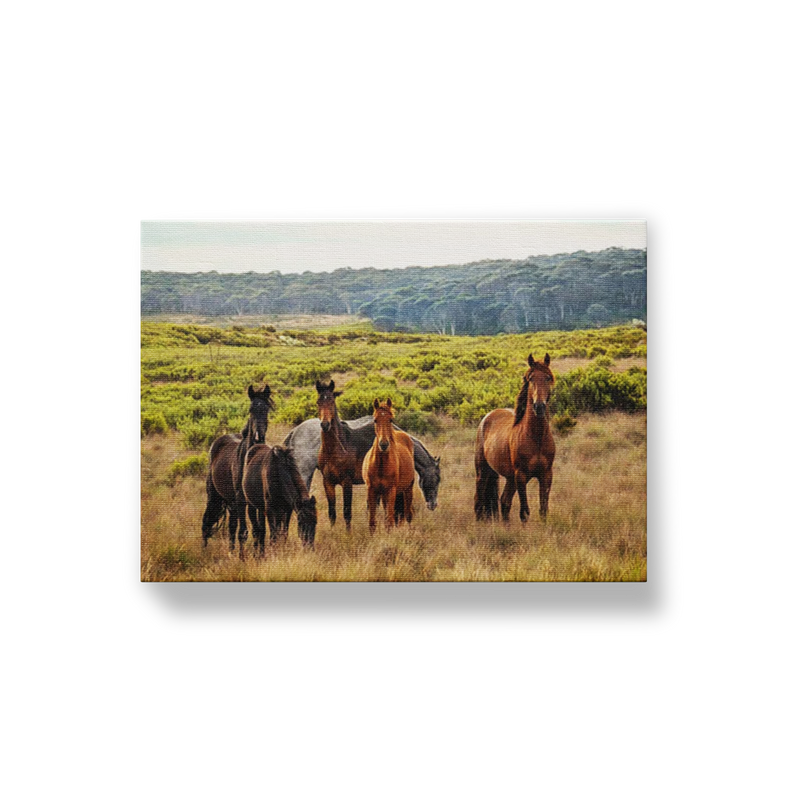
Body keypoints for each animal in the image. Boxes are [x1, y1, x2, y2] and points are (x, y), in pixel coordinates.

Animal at [200, 382, 276, 556]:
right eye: (251, 409)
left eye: (266, 409)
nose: (258, 437)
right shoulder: (242, 500)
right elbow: (244, 531)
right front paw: (243, 558)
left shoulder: (257, 502)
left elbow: (260, 530)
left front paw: (260, 555)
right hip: (215, 496)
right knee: (208, 522)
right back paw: (206, 550)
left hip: (231, 502)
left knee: (231, 526)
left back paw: (231, 551)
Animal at [360, 398, 412, 532]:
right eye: (375, 420)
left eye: (391, 419)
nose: (383, 445)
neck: (381, 465)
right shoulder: (372, 490)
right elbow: (372, 522)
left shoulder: (391, 490)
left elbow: (390, 521)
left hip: (407, 489)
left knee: (408, 515)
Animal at [476, 356, 556, 524]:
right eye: (531, 379)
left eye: (547, 377)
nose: (539, 406)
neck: (536, 437)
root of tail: (488, 416)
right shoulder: (521, 476)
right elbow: (524, 512)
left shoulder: (546, 475)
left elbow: (543, 510)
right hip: (483, 471)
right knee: (479, 501)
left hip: (510, 478)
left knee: (504, 501)